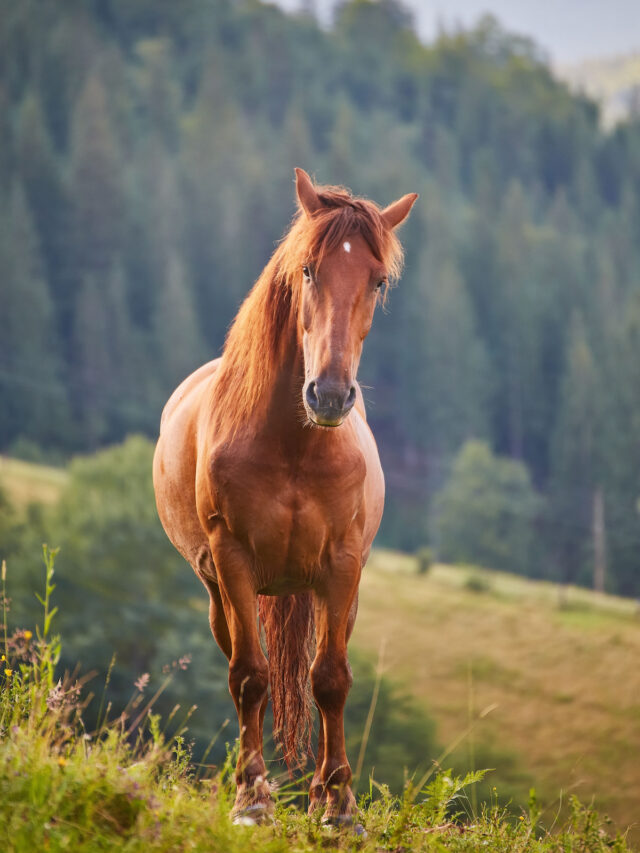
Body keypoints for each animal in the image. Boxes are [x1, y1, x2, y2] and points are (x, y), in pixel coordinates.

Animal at [153, 168, 417, 825]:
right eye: (308, 270)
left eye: (377, 280)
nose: (330, 394)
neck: (295, 446)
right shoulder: (233, 561)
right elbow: (251, 676)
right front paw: (252, 798)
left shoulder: (342, 568)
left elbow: (331, 680)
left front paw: (340, 806)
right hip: (221, 592)